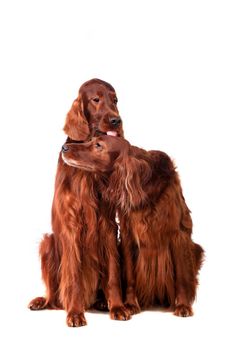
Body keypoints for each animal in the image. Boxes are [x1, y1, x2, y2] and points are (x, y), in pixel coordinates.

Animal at [28, 78, 129, 326]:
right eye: (96, 99)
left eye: (115, 100)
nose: (117, 120)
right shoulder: (71, 226)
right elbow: (72, 275)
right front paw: (74, 313)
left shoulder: (108, 226)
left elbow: (113, 274)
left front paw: (118, 307)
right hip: (48, 243)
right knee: (54, 295)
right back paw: (43, 301)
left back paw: (102, 302)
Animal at [62, 135, 204, 316]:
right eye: (91, 140)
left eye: (98, 145)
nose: (64, 148)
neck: (145, 188)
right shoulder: (128, 234)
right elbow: (129, 275)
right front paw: (129, 304)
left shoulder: (178, 233)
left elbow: (182, 276)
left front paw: (183, 305)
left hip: (196, 249)